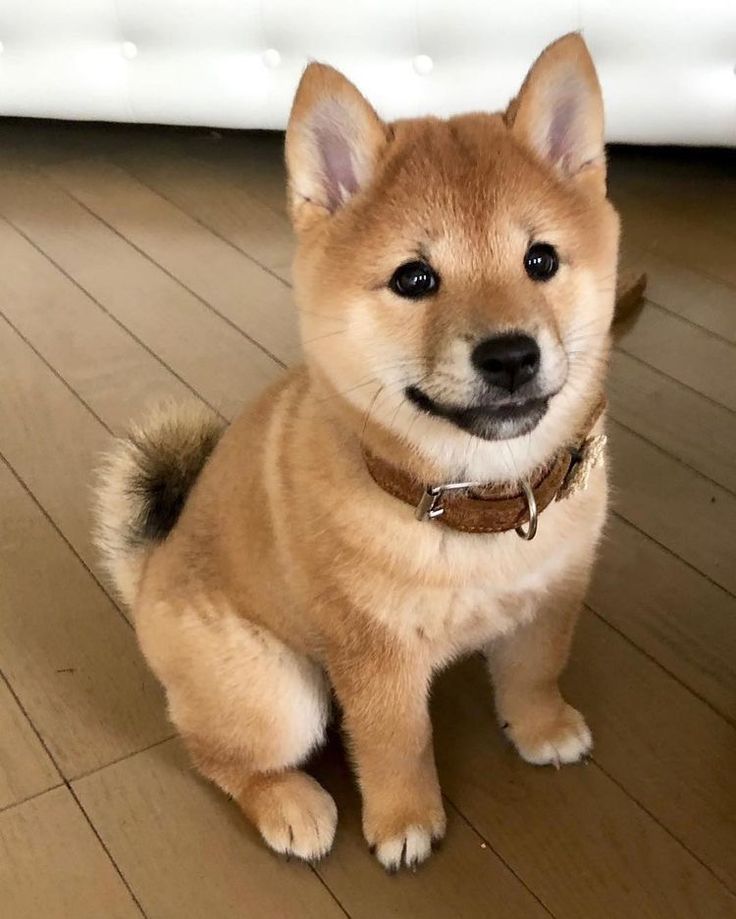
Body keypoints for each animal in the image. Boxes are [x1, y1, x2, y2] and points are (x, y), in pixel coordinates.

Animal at [95, 34, 620, 868]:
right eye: (415, 277)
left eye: (541, 261)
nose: (510, 355)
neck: (473, 502)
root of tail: (148, 575)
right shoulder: (374, 655)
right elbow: (396, 741)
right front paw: (405, 820)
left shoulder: (551, 596)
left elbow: (537, 670)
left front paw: (540, 729)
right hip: (276, 691)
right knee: (217, 755)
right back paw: (290, 805)